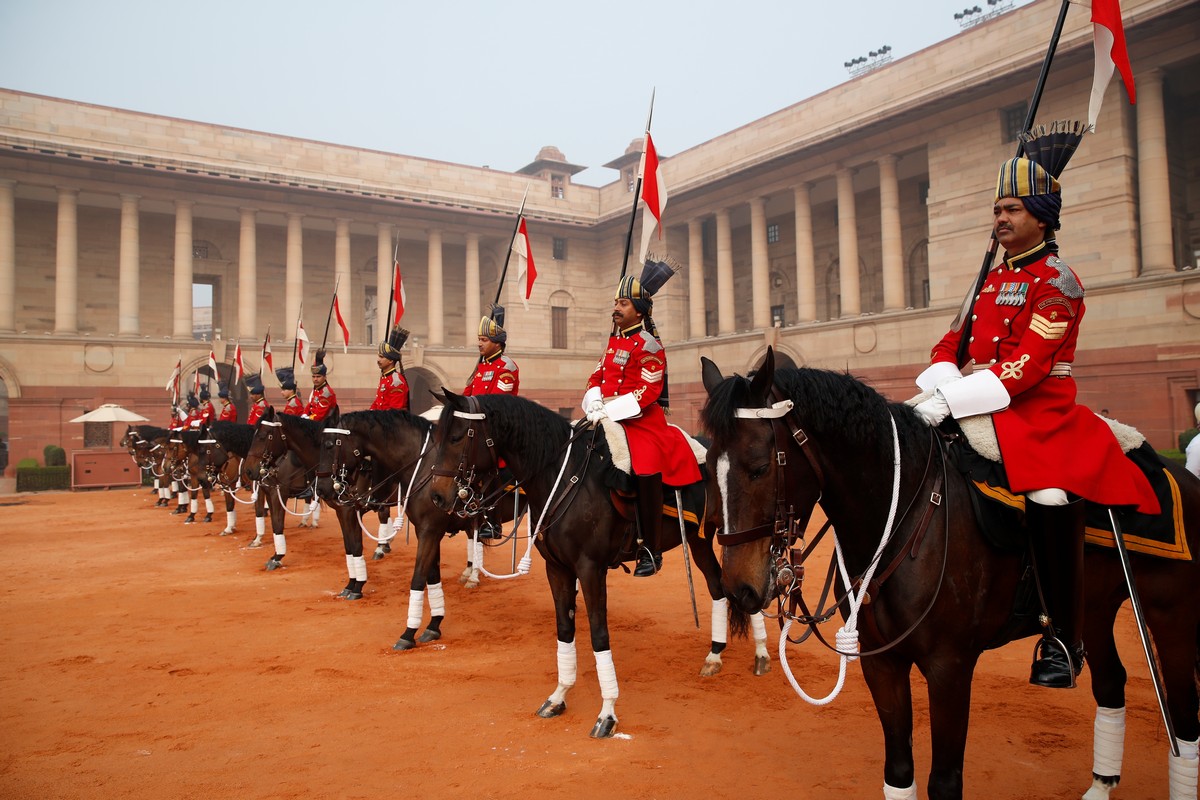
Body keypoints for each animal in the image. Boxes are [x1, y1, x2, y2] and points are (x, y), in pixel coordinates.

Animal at [427, 391, 772, 743]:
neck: (562, 478)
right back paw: (715, 654)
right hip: (698, 539)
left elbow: (598, 634)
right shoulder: (558, 569)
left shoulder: (591, 569)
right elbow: (565, 630)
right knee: (718, 587)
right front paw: (559, 696)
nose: (437, 497)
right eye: (437, 438)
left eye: (457, 437)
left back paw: (760, 653)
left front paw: (607, 713)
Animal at [700, 347, 1200, 800]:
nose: (739, 588)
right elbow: (899, 773)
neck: (900, 520)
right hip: (1092, 607)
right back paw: (1099, 783)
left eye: (759, 467)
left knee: (1184, 715)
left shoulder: (950, 668)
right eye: (707, 469)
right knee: (1111, 683)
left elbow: (944, 783)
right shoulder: (882, 663)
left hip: (1170, 614)